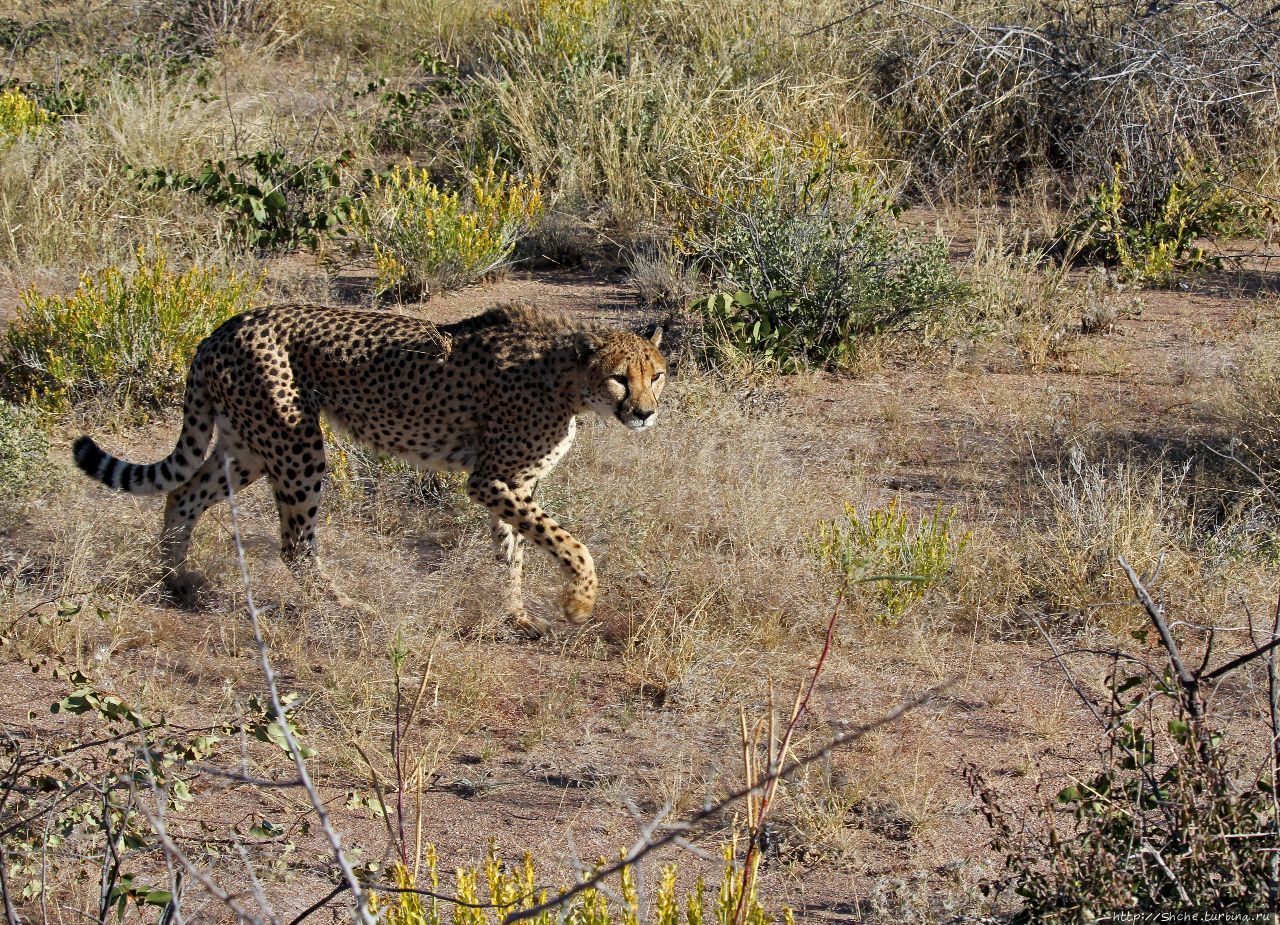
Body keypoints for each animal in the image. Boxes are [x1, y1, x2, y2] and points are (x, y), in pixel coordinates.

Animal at [70, 304, 670, 637]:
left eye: (657, 374)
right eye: (620, 377)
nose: (644, 413)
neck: (569, 379)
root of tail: (228, 325)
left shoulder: (514, 483)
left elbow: (515, 551)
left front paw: (517, 615)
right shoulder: (490, 479)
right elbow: (571, 543)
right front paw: (578, 602)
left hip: (249, 447)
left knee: (184, 494)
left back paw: (174, 579)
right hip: (296, 445)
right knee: (294, 545)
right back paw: (347, 608)